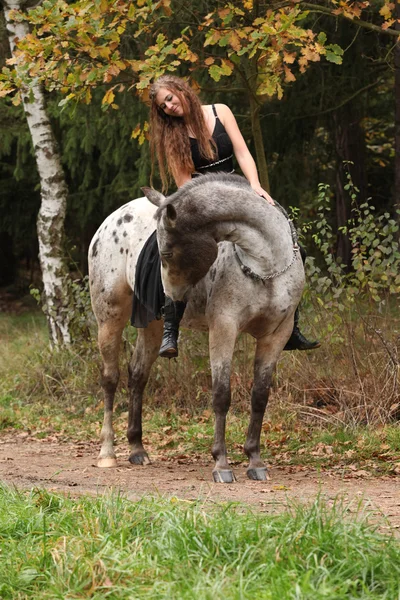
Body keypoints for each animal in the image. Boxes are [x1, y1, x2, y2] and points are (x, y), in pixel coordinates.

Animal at [89, 173, 304, 482]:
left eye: (166, 252)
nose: (167, 298)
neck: (265, 265)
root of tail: (112, 219)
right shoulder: (224, 328)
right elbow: (221, 395)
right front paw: (221, 464)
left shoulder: (276, 335)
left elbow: (260, 396)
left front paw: (255, 460)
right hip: (110, 318)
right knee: (110, 379)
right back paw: (107, 452)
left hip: (152, 326)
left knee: (138, 376)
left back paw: (137, 449)